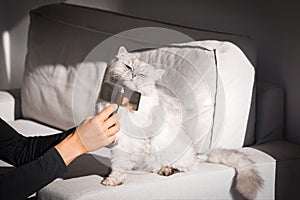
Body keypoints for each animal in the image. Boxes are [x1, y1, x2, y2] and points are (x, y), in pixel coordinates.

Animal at [96, 47, 262, 200]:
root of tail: (197, 154)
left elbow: (120, 163)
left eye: (142, 75)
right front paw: (112, 176)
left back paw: (166, 170)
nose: (134, 75)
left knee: (184, 167)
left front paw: (113, 179)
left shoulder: (131, 140)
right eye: (128, 67)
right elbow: (117, 160)